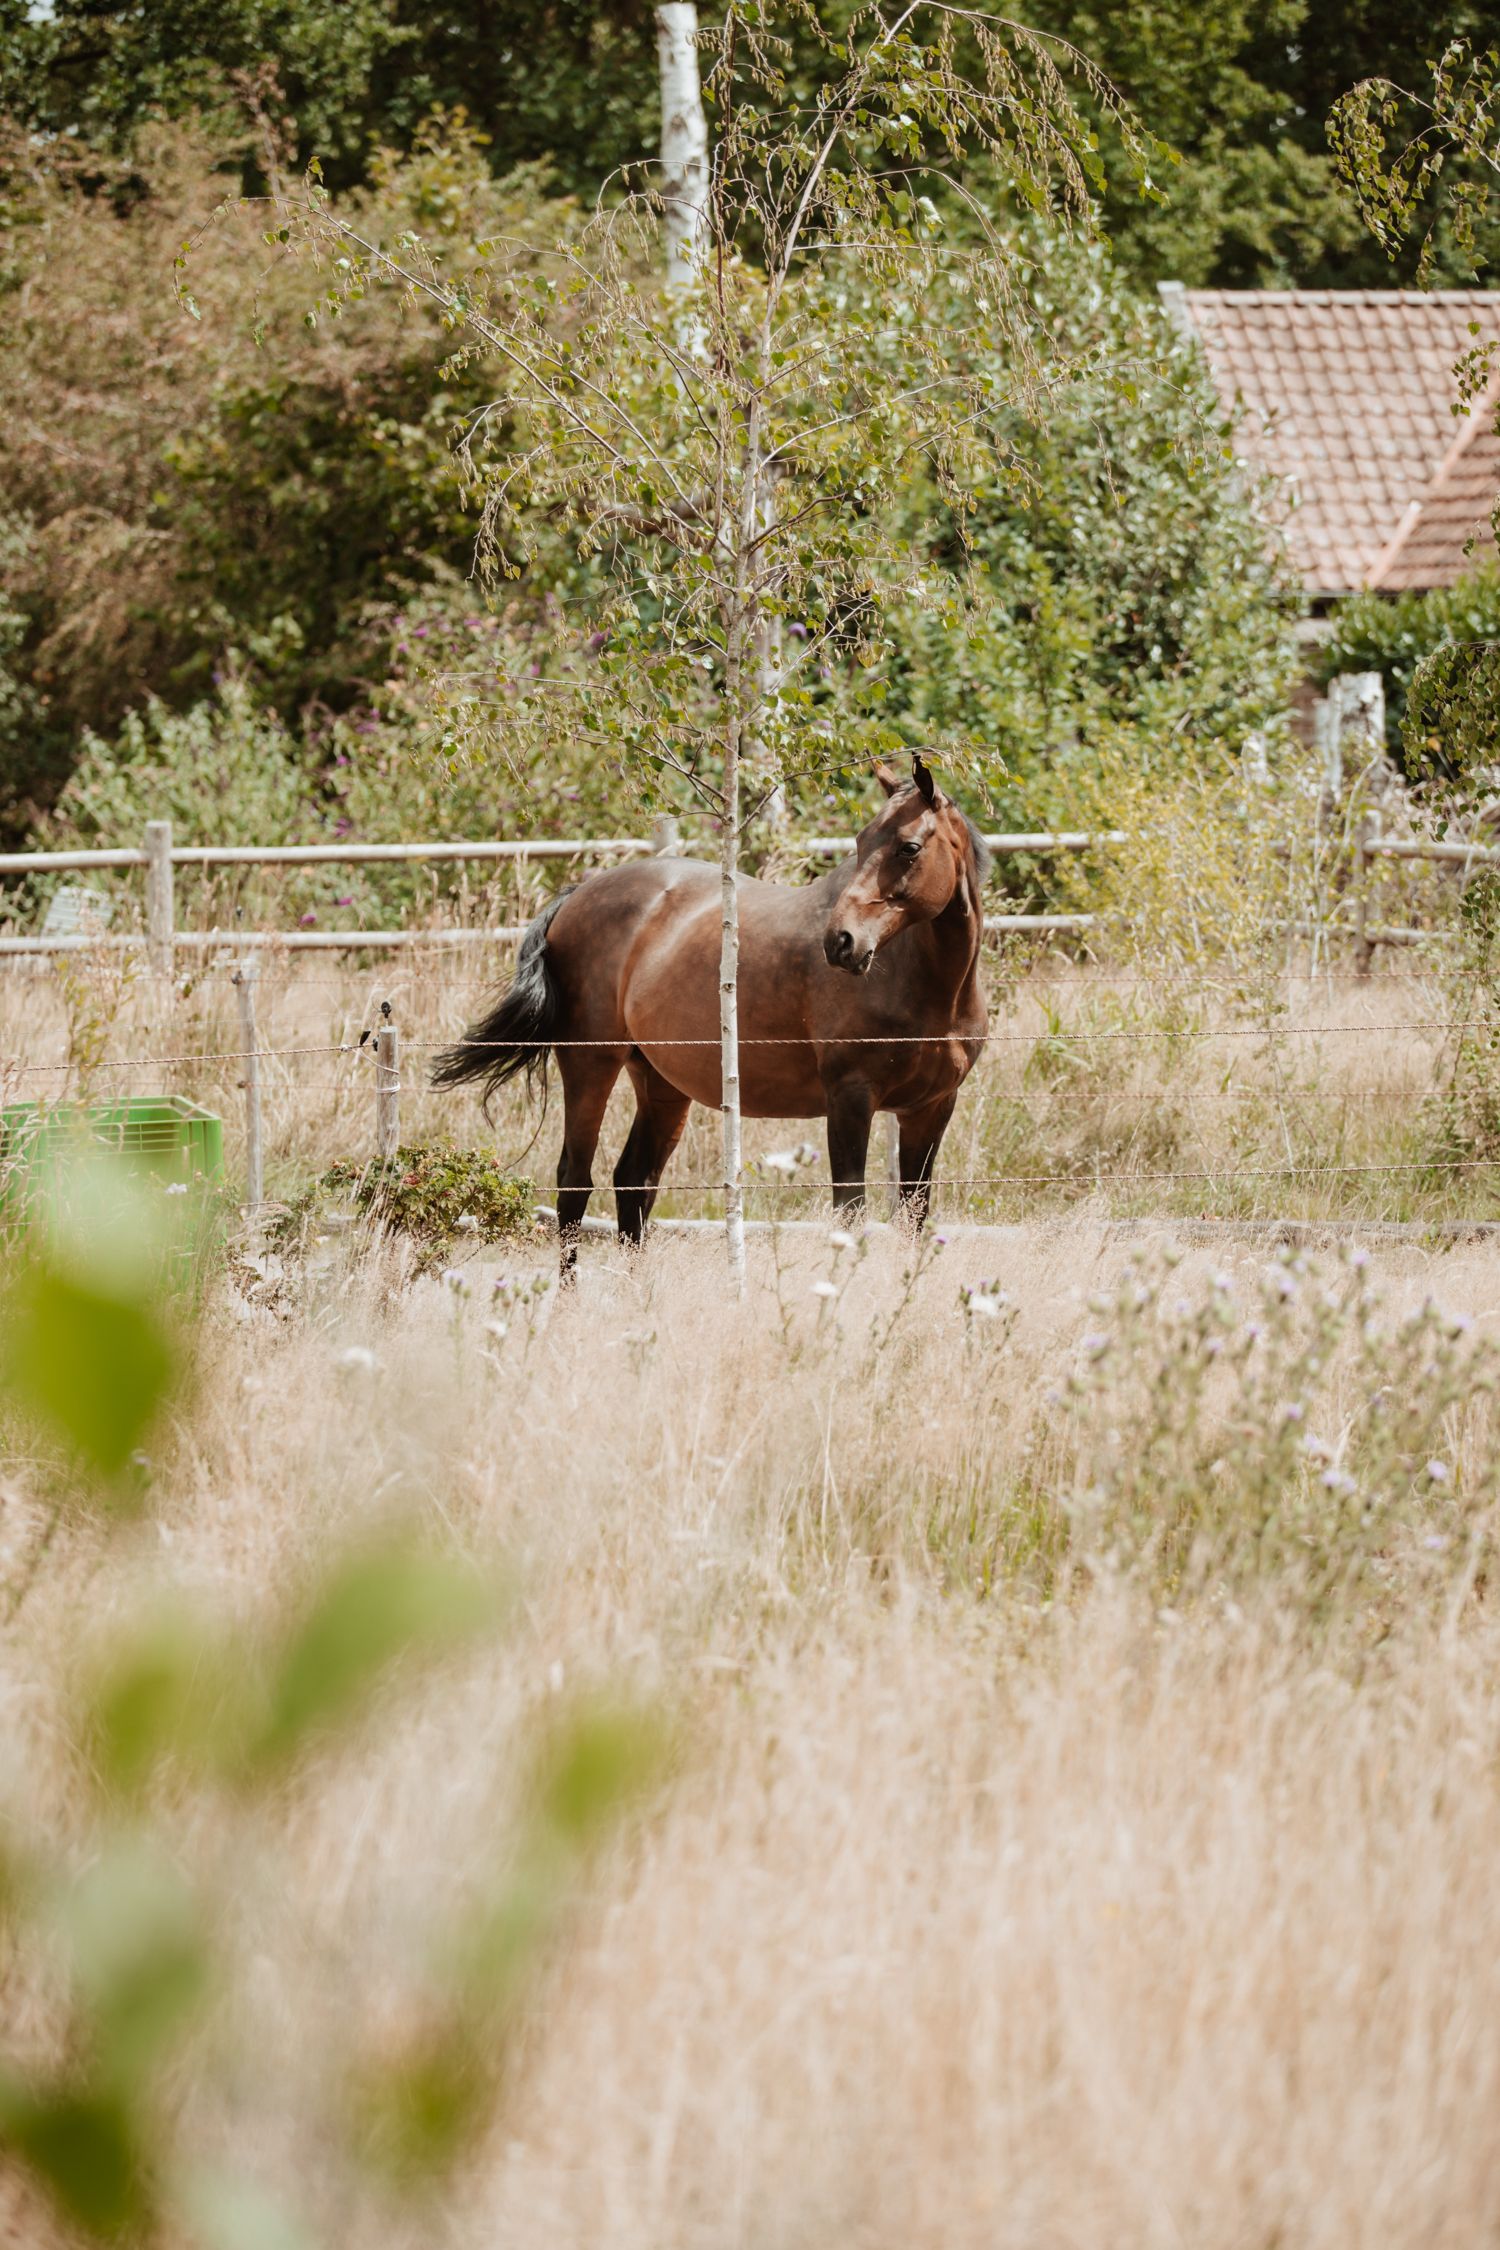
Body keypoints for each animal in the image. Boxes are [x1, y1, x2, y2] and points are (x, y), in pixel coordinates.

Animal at [433, 755, 990, 1271]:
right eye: (860, 841)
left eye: (909, 847)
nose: (840, 942)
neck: (927, 987)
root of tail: (576, 897)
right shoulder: (850, 1099)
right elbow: (850, 1213)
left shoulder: (931, 1108)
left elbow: (913, 1215)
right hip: (591, 1063)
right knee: (575, 1180)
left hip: (660, 1082)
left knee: (634, 1182)